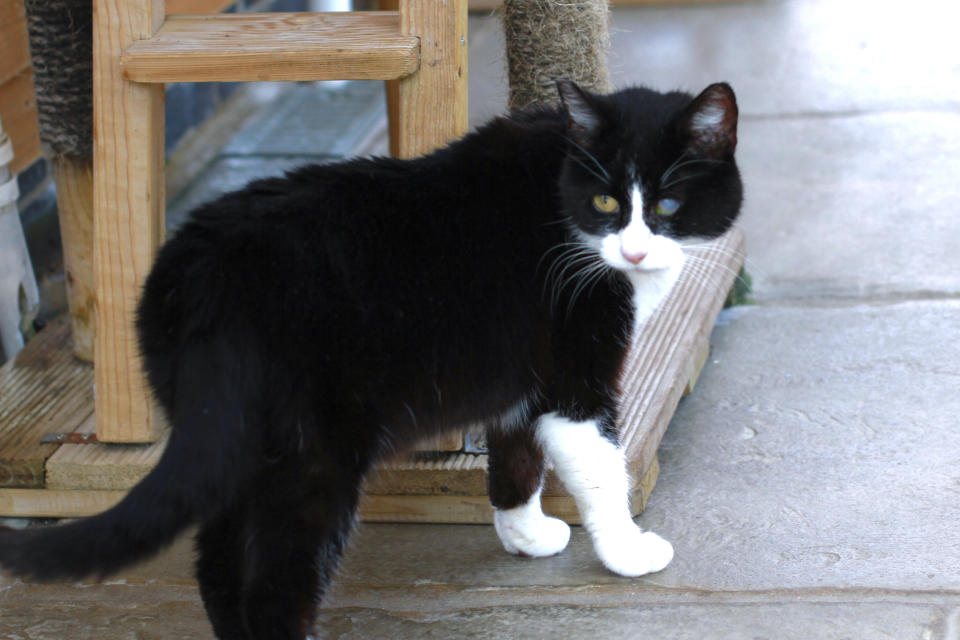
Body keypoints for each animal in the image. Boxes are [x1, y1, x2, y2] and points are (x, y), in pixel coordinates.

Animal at [0, 79, 744, 636]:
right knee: (272, 588)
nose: (635, 252)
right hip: (312, 453)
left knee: (218, 566)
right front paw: (626, 550)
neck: (561, 195)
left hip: (237, 443)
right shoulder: (576, 375)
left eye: (668, 203)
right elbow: (599, 468)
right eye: (606, 201)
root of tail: (207, 279)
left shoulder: (523, 377)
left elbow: (515, 454)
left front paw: (525, 533)